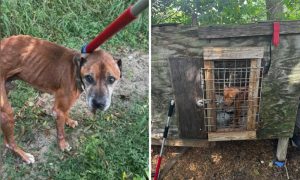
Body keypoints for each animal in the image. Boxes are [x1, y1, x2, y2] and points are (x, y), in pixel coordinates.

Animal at [0, 34, 122, 163]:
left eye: (111, 79)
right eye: (89, 77)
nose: (98, 104)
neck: (75, 69)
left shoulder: (64, 106)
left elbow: (66, 112)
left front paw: (69, 121)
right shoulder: (58, 110)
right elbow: (61, 131)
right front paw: (63, 145)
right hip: (7, 112)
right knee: (9, 143)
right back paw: (24, 155)